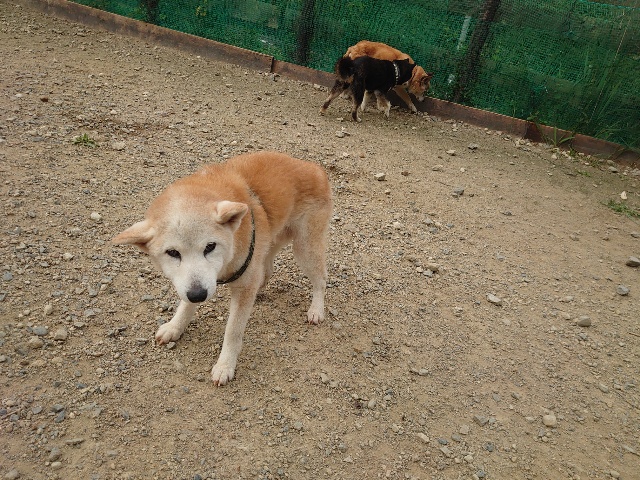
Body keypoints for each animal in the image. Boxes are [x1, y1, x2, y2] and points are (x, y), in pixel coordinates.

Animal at [113, 152, 332, 386]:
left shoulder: (242, 283)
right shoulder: (194, 283)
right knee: (267, 270)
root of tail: (313, 167)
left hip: (305, 249)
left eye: (210, 246)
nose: (199, 295)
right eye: (172, 253)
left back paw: (316, 309)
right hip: (271, 243)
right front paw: (175, 326)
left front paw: (225, 365)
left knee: (320, 280)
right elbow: (186, 304)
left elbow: (233, 331)